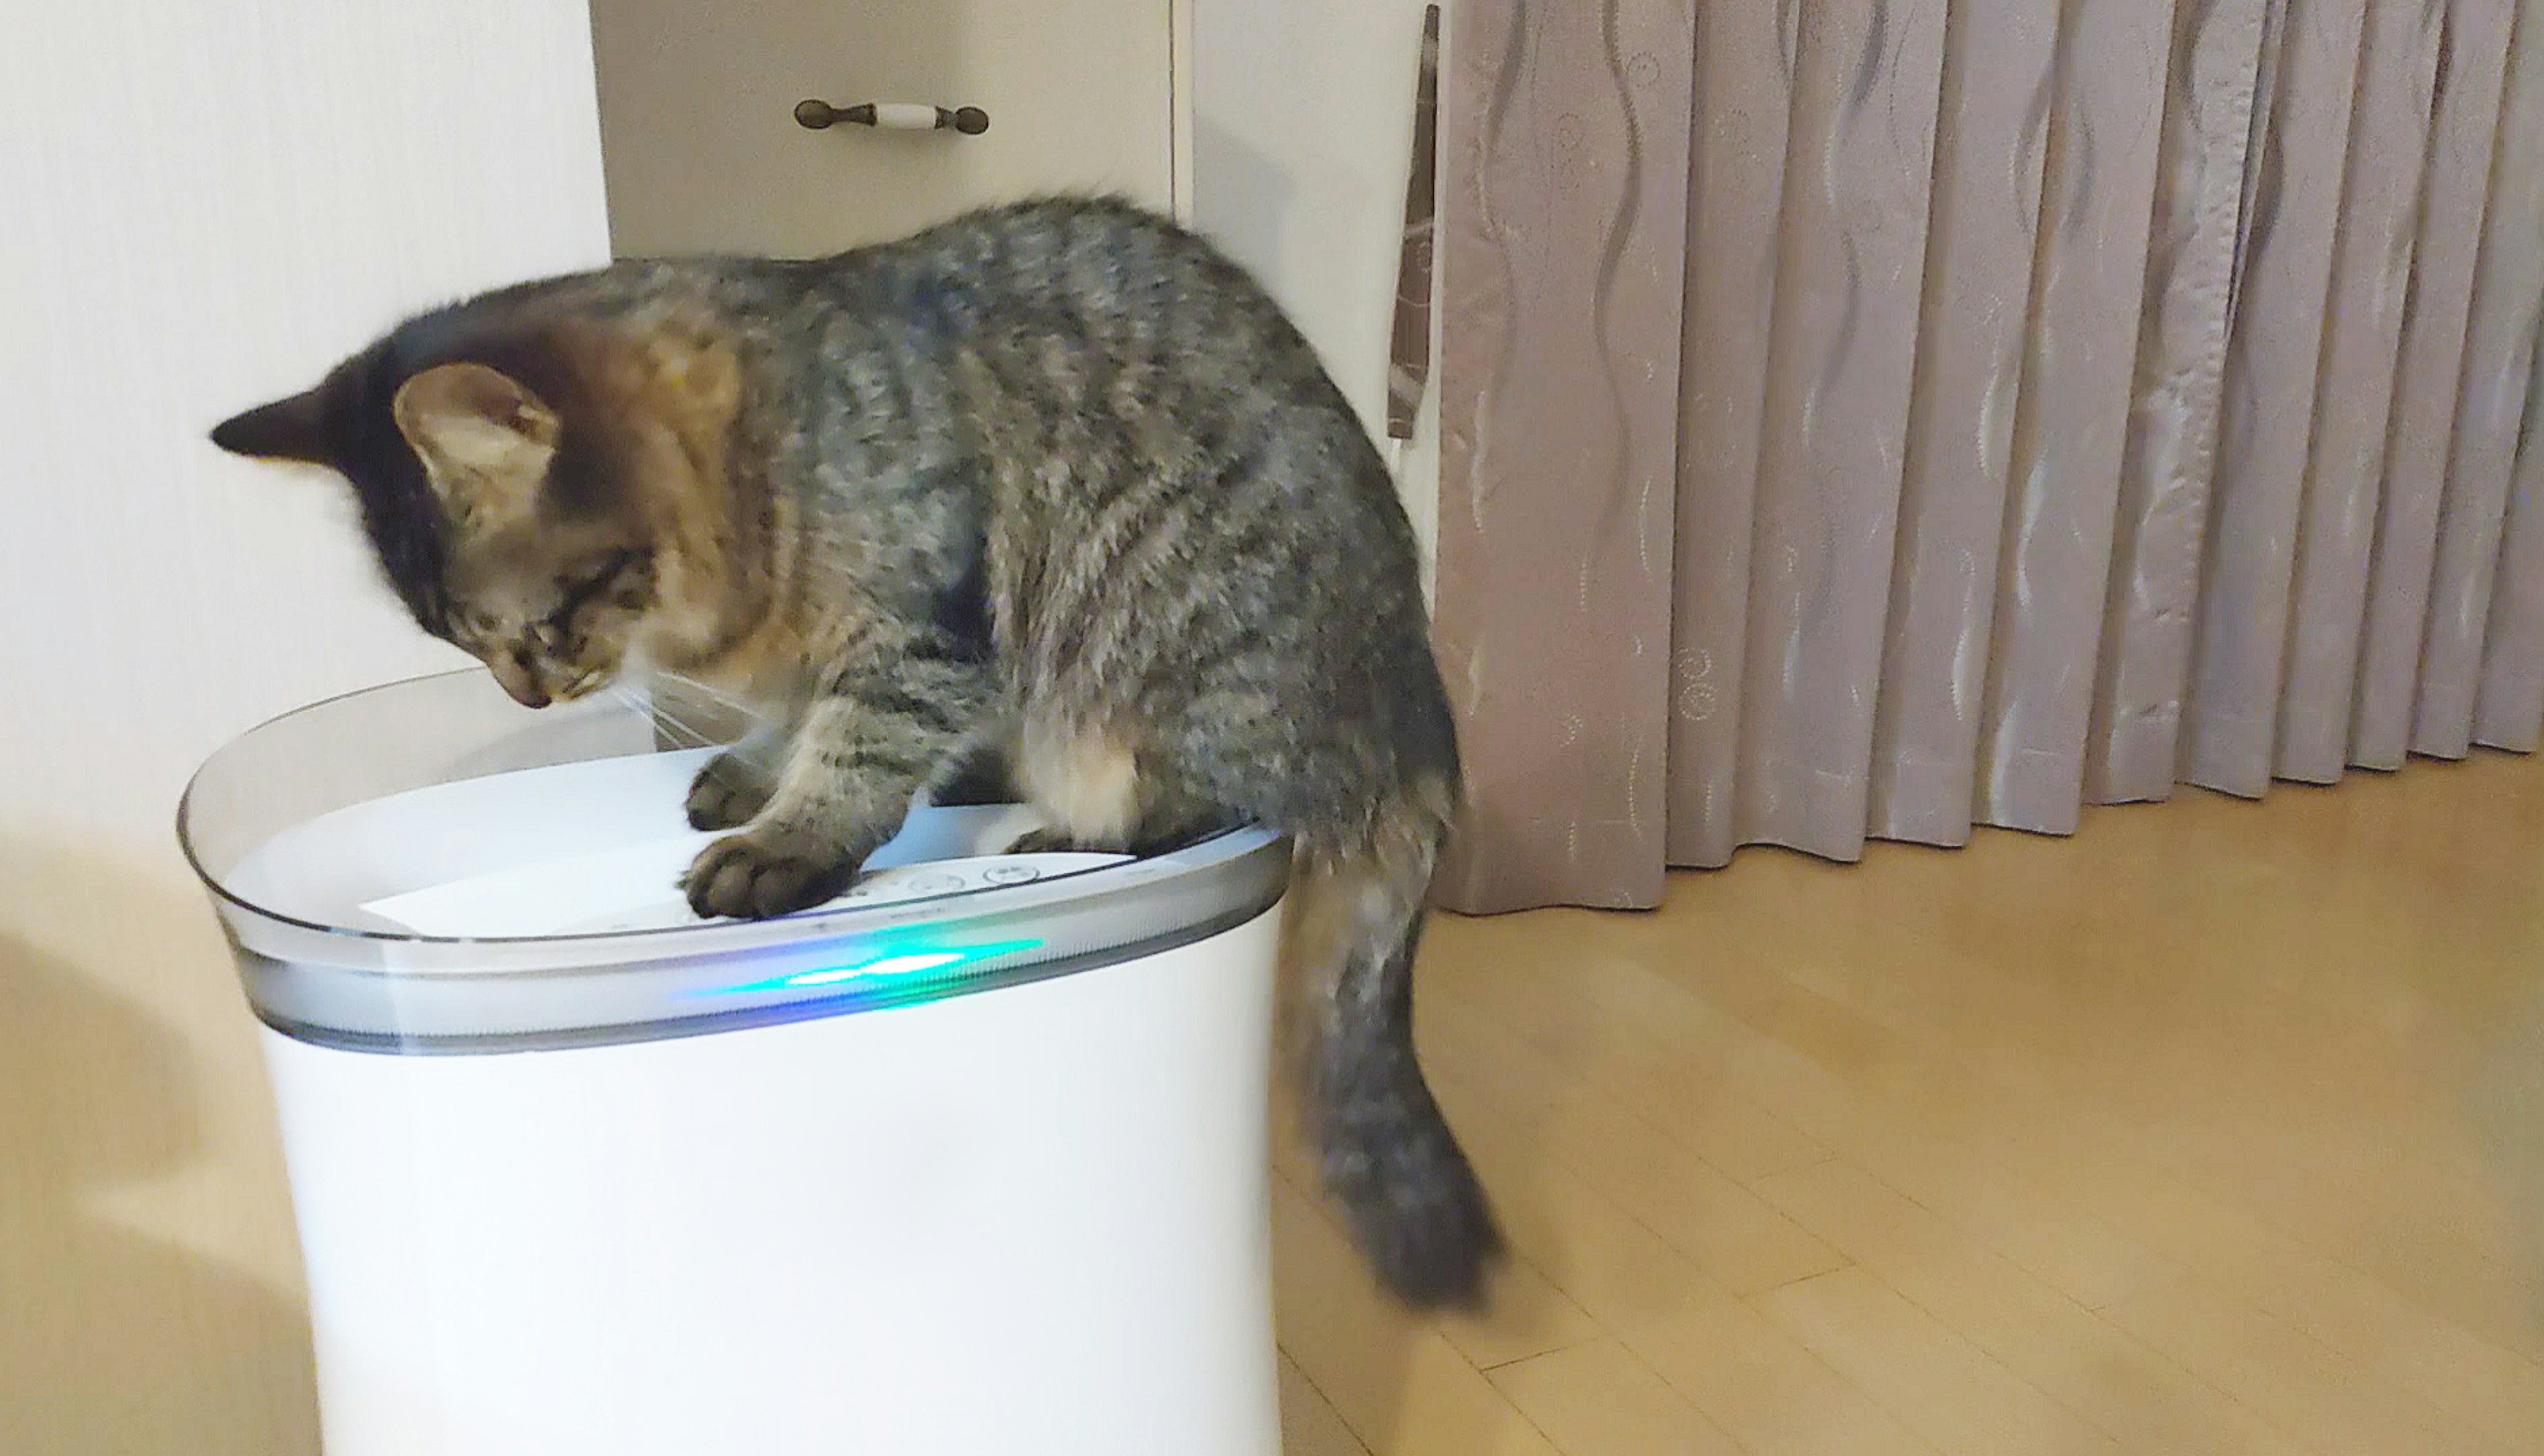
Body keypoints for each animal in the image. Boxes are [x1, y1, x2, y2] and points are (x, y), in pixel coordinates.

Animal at [219, 195, 1495, 1303]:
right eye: (466, 645)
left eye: (527, 631)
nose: (527, 697)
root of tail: (1424, 735)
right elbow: (792, 724)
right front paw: (750, 771)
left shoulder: (914, 628)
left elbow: (855, 756)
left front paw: (785, 836)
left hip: (1163, 656)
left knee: (1219, 804)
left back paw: (1070, 828)